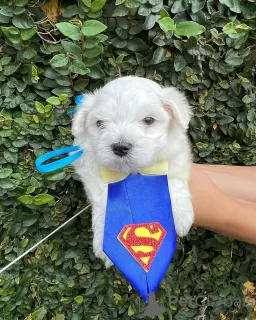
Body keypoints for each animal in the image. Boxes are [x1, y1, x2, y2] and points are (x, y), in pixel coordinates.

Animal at [72, 75, 194, 268]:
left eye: (149, 120)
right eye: (100, 123)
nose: (120, 147)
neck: (132, 171)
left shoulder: (176, 154)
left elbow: (173, 179)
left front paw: (181, 217)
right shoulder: (90, 169)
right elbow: (103, 199)